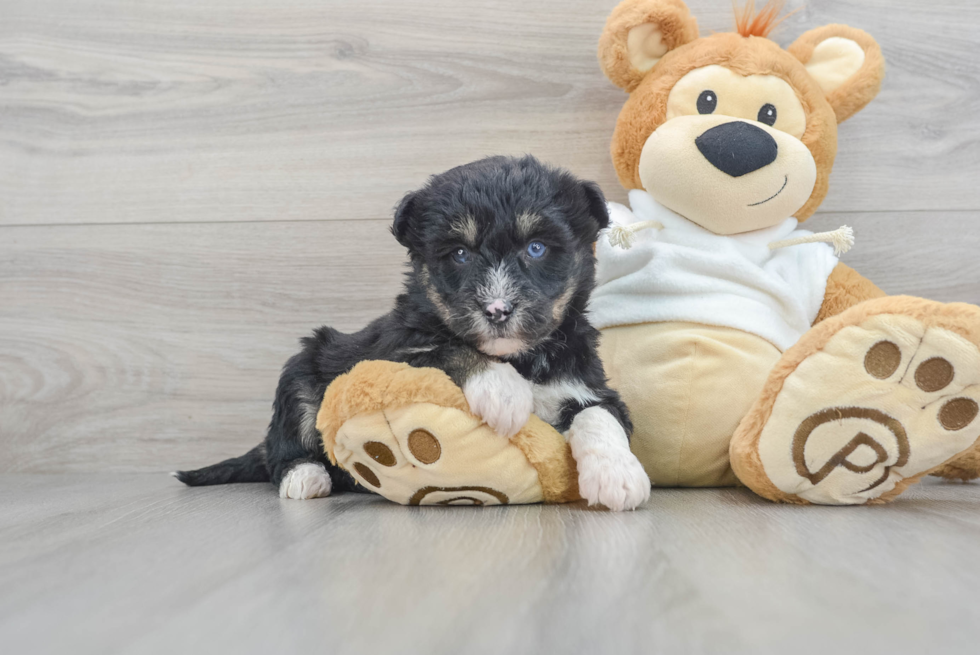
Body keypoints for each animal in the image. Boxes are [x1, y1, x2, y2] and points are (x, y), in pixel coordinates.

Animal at [176, 155, 652, 512]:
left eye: (536, 248)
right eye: (459, 254)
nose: (497, 309)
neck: (519, 357)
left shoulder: (588, 384)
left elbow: (600, 416)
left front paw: (618, 475)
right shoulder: (392, 352)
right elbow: (446, 347)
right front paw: (502, 392)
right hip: (300, 371)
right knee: (283, 448)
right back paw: (306, 476)